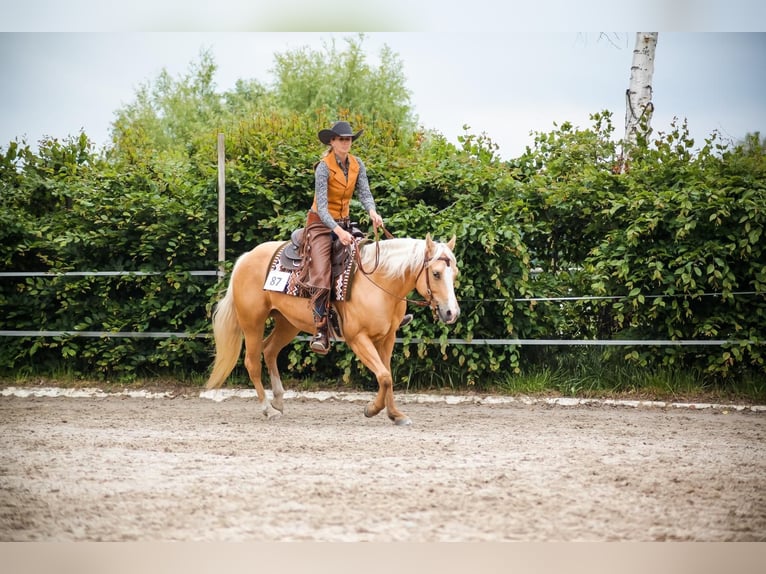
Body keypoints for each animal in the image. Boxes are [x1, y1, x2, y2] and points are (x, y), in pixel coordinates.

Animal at [205, 233, 460, 425]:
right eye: (436, 273)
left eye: (454, 274)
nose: (452, 313)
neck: (380, 283)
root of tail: (246, 258)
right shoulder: (358, 339)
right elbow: (384, 376)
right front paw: (371, 409)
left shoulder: (387, 338)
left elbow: (386, 375)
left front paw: (395, 414)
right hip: (252, 323)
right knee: (252, 363)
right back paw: (268, 409)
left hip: (287, 323)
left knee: (269, 351)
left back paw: (277, 400)